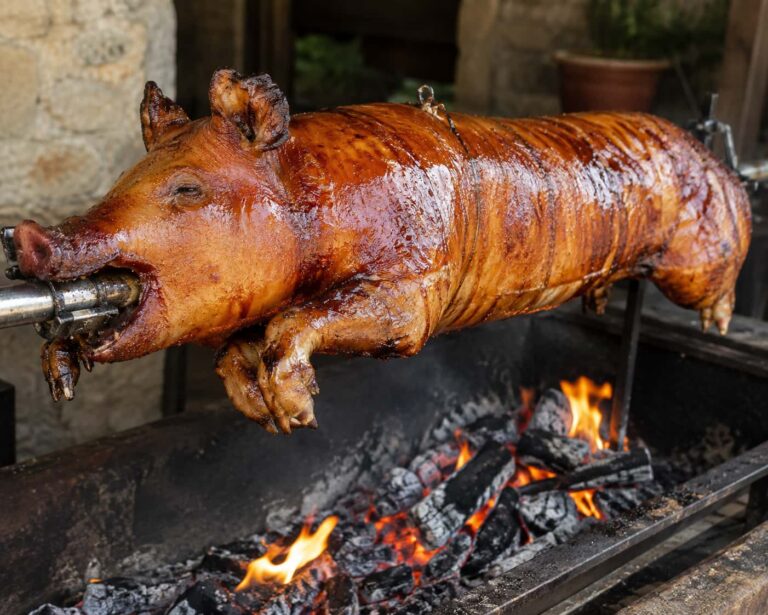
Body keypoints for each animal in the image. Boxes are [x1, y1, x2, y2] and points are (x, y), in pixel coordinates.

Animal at [12, 69, 751, 433]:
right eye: (124, 178)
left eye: (188, 188)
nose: (25, 239)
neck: (310, 198)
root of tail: (722, 163)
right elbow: (240, 346)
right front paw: (262, 407)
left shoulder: (408, 292)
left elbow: (295, 325)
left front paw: (298, 408)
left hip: (694, 261)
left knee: (713, 281)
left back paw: (718, 320)